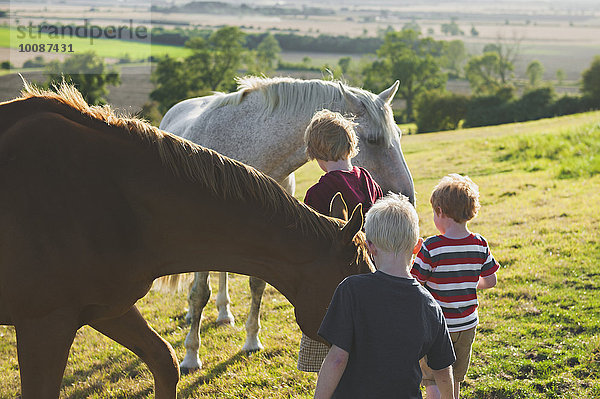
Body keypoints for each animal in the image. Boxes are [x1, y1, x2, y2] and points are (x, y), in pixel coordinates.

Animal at [157, 76, 414, 374]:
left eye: (399, 134)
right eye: (373, 140)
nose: (407, 197)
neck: (251, 146)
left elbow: (257, 285)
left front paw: (251, 341)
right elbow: (200, 293)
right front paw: (190, 357)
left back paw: (224, 313)